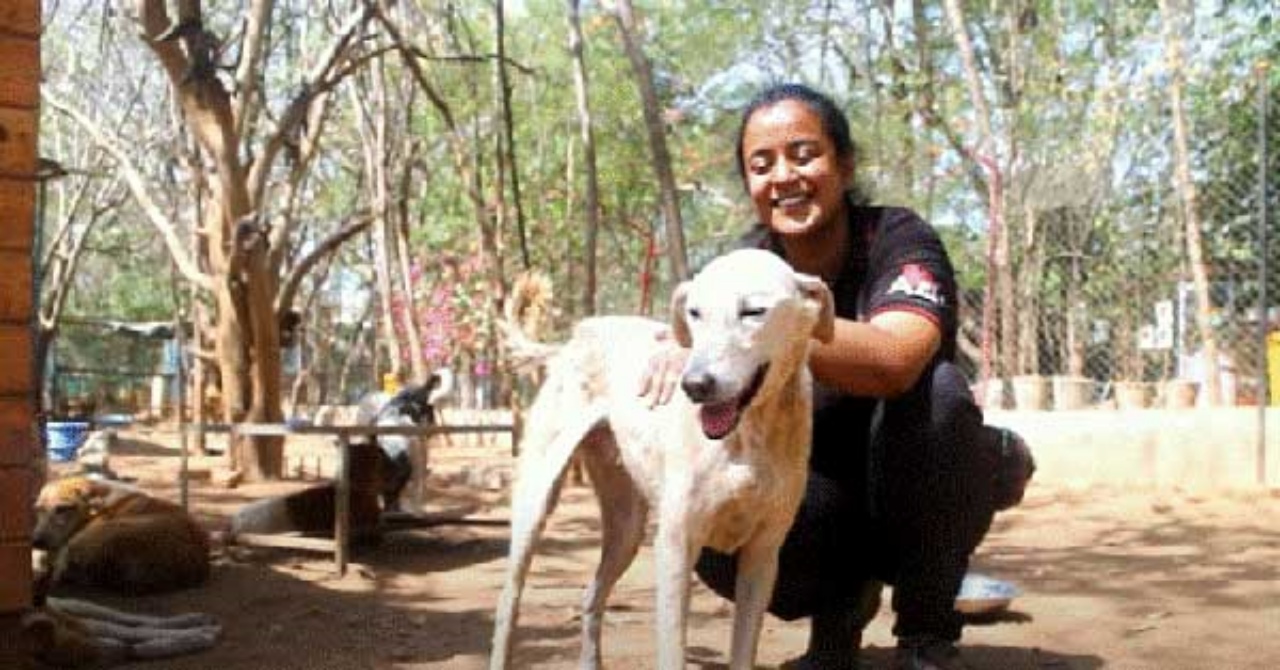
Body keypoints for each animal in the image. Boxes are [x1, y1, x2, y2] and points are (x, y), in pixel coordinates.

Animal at [21, 594, 222, 666]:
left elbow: (133, 633)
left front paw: (201, 635)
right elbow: (139, 648)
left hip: (82, 609)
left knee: (132, 620)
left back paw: (199, 622)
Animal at [486, 249, 829, 670]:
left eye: (753, 311)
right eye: (694, 312)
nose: (694, 385)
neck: (746, 437)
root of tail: (576, 337)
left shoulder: (763, 556)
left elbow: (743, 652)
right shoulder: (676, 546)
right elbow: (672, 652)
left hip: (627, 526)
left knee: (591, 595)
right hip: (536, 503)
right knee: (509, 602)